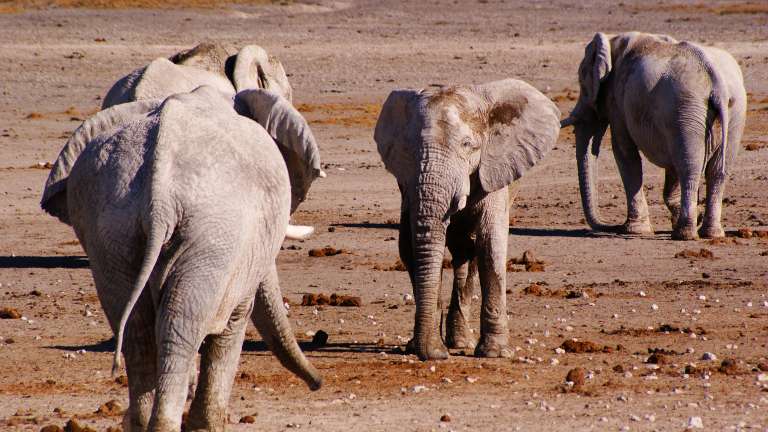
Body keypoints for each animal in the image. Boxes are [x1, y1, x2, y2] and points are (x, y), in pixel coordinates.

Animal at [40, 86, 321, 431]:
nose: (318, 383)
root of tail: (159, 198)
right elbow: (234, 321)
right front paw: (207, 426)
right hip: (212, 231)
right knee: (179, 325)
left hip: (112, 230)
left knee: (138, 330)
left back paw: (140, 422)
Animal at [374, 79, 561, 360]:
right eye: (409, 149)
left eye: (467, 145)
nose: (435, 354)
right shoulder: (407, 184)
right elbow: (409, 248)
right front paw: (423, 347)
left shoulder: (493, 169)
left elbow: (490, 246)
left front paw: (494, 352)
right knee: (461, 251)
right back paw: (453, 342)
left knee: (470, 250)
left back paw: (461, 343)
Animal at [560, 32, 747, 240]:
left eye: (582, 82)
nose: (613, 226)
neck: (613, 40)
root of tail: (717, 83)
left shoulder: (619, 100)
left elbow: (624, 152)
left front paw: (634, 230)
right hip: (731, 112)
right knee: (717, 171)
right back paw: (711, 234)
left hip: (687, 109)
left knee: (689, 167)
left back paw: (684, 234)